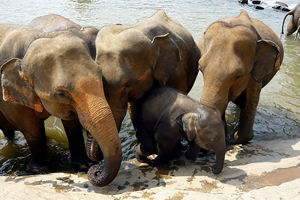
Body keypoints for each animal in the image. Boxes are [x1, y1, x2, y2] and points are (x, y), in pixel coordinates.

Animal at [0, 24, 119, 186]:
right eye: (61, 94)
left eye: (101, 75)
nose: (96, 170)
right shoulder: (12, 102)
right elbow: (32, 129)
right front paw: (39, 170)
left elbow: (71, 125)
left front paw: (82, 165)